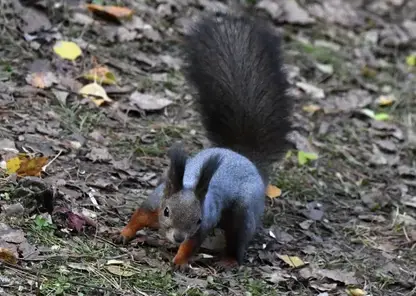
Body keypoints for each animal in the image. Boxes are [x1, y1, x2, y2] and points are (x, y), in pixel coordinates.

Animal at [114, 12, 292, 270]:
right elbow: (137, 218)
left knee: (238, 239)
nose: (178, 237)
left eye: (198, 219)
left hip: (245, 213)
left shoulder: (203, 225)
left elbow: (192, 245)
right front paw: (123, 233)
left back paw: (229, 259)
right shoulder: (153, 203)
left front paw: (180, 260)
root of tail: (245, 158)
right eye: (166, 211)